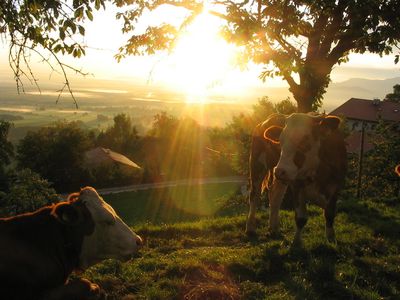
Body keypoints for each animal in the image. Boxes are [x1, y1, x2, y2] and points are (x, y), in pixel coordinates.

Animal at [245, 113, 346, 245]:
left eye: (304, 141)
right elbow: (301, 218)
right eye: (280, 142)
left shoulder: (335, 188)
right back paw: (250, 228)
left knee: (275, 197)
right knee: (254, 196)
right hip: (258, 164)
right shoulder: (297, 186)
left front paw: (331, 238)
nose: (279, 170)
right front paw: (296, 242)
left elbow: (329, 214)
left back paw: (274, 229)